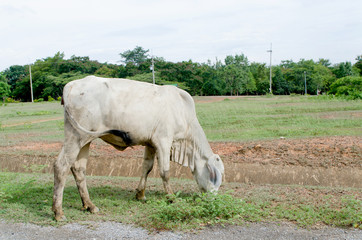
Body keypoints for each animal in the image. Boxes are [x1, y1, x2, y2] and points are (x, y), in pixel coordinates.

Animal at [52, 76, 225, 220]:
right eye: (214, 176)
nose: (213, 200)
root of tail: (71, 85)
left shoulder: (151, 143)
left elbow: (147, 168)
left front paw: (140, 194)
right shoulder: (163, 141)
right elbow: (165, 172)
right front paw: (171, 197)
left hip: (85, 140)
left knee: (78, 168)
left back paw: (89, 205)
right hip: (76, 136)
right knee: (61, 166)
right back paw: (58, 212)